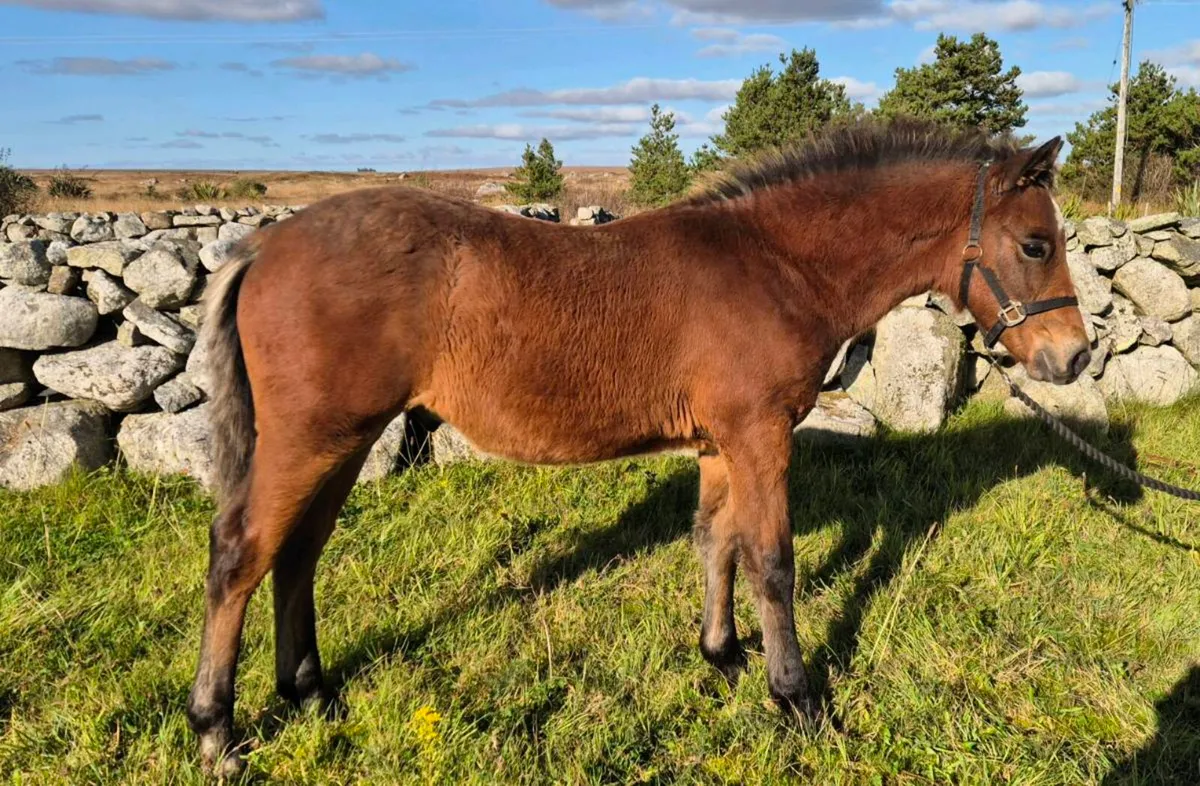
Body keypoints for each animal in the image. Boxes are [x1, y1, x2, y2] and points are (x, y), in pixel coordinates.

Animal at [185, 119, 1088, 775]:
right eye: (1036, 244)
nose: (1075, 358)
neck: (775, 265)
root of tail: (263, 245)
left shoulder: (724, 443)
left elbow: (717, 543)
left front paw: (722, 657)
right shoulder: (761, 436)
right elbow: (772, 561)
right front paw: (799, 700)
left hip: (344, 440)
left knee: (299, 553)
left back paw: (310, 693)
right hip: (311, 439)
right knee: (240, 554)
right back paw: (217, 732)